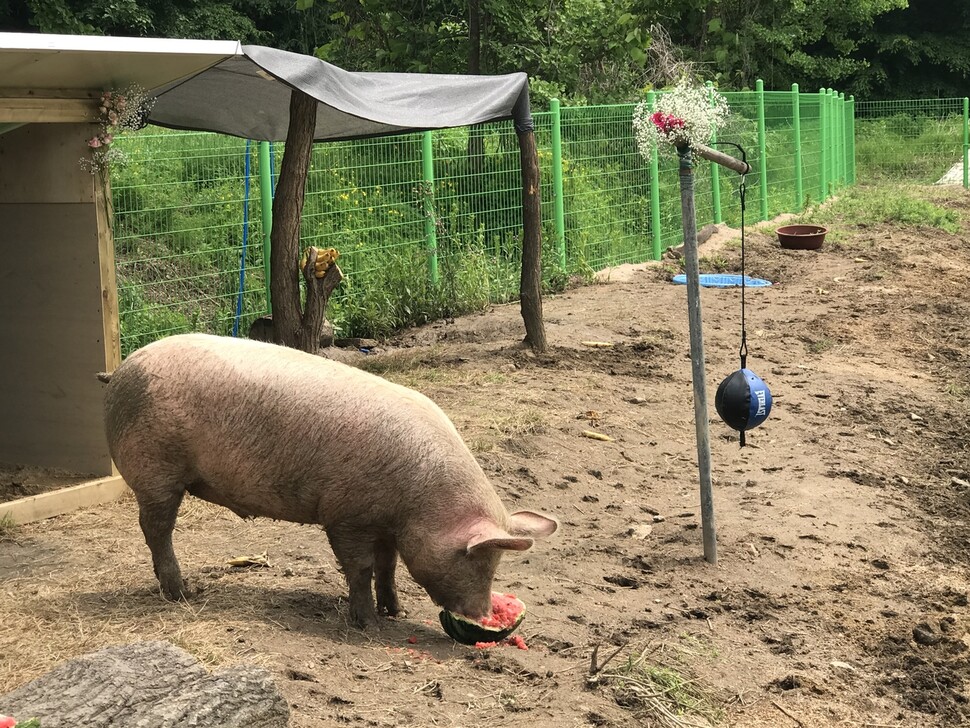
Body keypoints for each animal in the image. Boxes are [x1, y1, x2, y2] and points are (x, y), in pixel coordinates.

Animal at [101, 334, 556, 624]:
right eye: (476, 559)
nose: (483, 615)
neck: (419, 502)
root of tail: (122, 368)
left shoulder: (384, 524)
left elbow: (388, 566)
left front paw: (397, 612)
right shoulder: (346, 516)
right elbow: (360, 567)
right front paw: (367, 623)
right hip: (156, 471)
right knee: (156, 529)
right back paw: (183, 592)